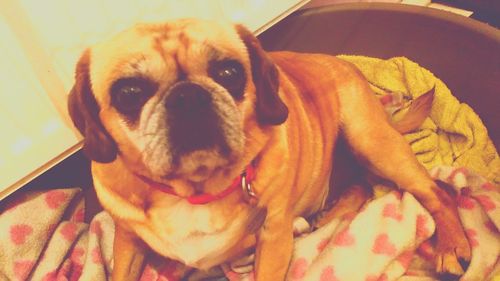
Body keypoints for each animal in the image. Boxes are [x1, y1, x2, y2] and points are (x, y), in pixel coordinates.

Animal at [68, 18, 470, 278]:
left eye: (229, 72)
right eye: (128, 93)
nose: (188, 97)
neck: (195, 191)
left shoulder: (272, 240)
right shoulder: (128, 242)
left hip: (370, 140)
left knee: (436, 191)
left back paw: (452, 246)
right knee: (362, 187)